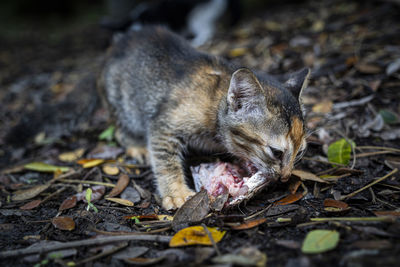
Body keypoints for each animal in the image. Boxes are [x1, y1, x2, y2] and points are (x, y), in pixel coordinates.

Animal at [98, 27, 308, 211]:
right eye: (276, 152)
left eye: (299, 152)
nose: (285, 177)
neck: (216, 107)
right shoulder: (163, 125)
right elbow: (166, 160)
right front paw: (176, 193)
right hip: (124, 103)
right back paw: (136, 145)